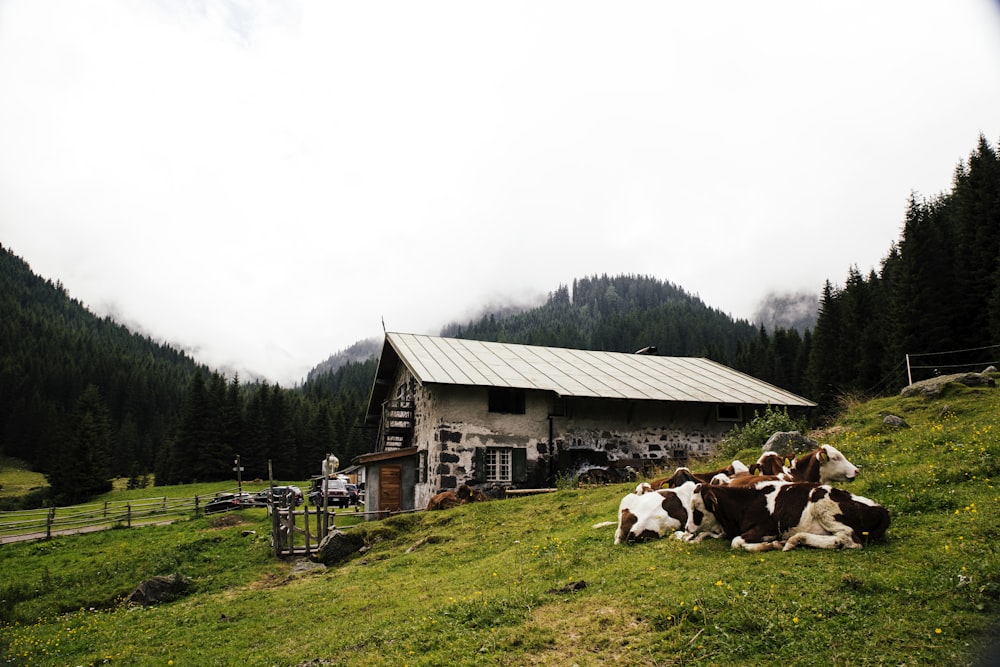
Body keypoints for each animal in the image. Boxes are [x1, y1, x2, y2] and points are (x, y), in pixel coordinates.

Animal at [688, 480, 892, 552]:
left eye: (696, 509)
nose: (688, 528)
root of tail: (881, 509)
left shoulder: (766, 529)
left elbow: (736, 542)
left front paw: (770, 545)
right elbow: (710, 534)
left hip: (822, 503)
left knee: (850, 540)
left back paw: (793, 540)